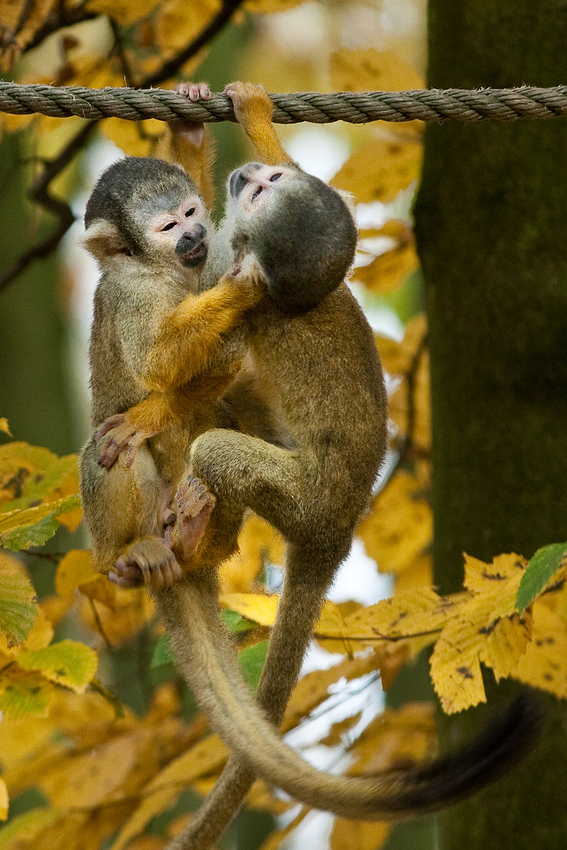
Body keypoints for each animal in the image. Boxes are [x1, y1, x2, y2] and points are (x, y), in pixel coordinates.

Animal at [92, 81, 540, 848]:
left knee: (213, 446)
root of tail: (340, 525)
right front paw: (232, 123)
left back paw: (190, 532)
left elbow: (195, 362)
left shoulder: (221, 271)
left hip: (302, 495)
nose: (248, 176)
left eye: (261, 192)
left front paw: (153, 409)